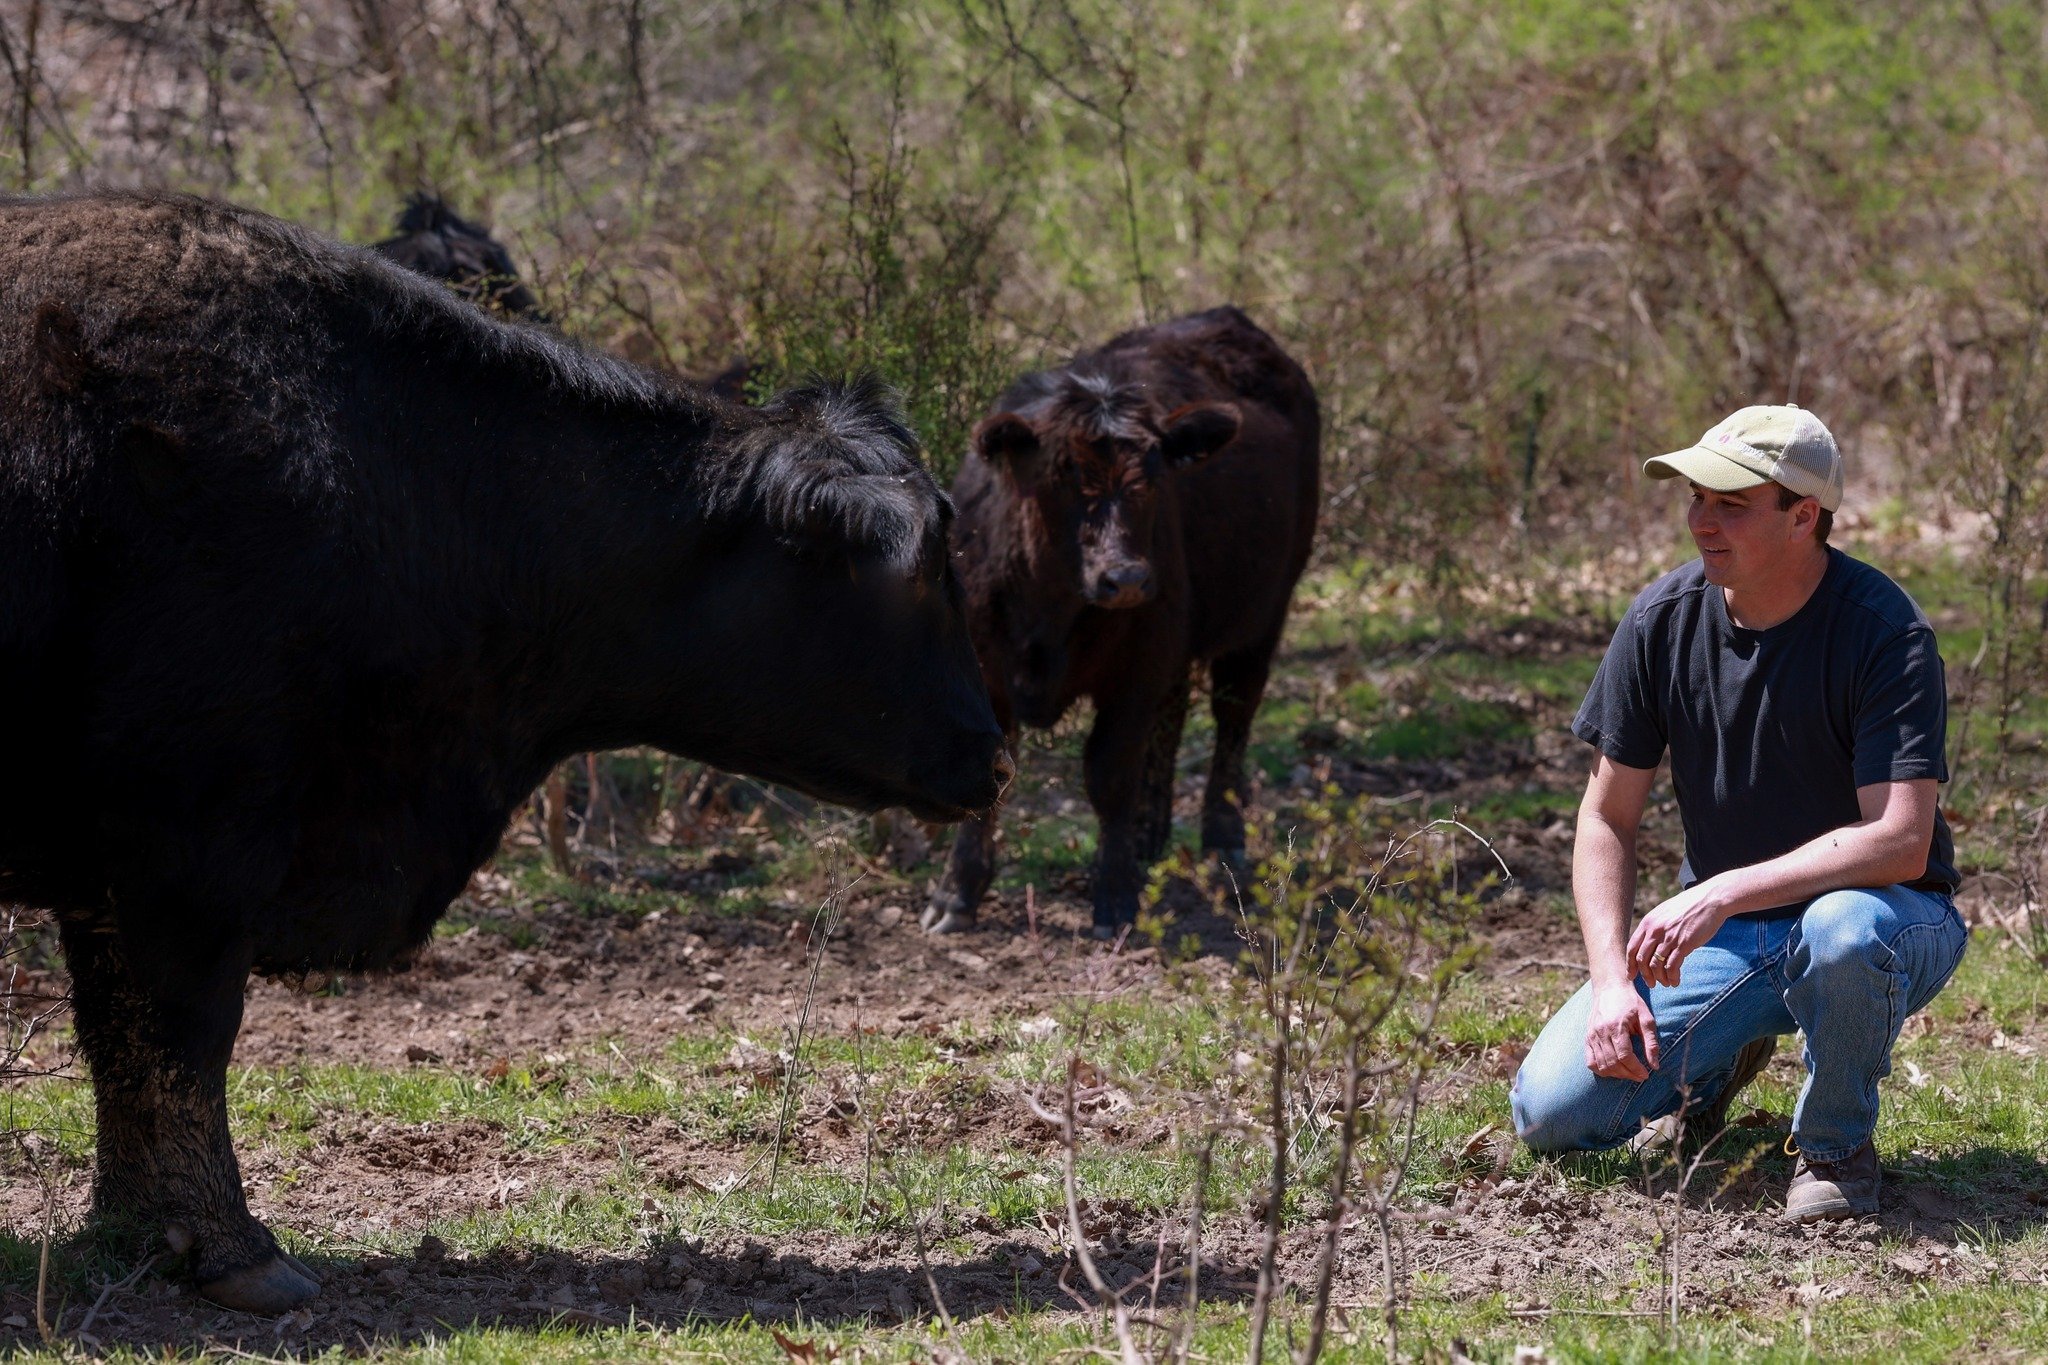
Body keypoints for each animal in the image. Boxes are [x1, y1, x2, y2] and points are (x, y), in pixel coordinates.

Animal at [0, 191, 1009, 1312]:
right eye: (920, 576)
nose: (995, 753)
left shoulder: (108, 868)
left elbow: (122, 1040)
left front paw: (137, 1230)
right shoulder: (195, 834)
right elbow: (182, 1032)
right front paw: (231, 1247)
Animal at [924, 307, 1319, 938]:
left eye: (1154, 477)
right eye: (1060, 474)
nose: (1127, 578)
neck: (1047, 611)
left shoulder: (1136, 671)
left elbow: (1110, 776)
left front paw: (1114, 896)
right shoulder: (986, 673)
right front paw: (957, 893)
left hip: (1262, 615)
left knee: (1232, 718)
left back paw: (1222, 838)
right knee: (1173, 717)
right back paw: (1148, 834)